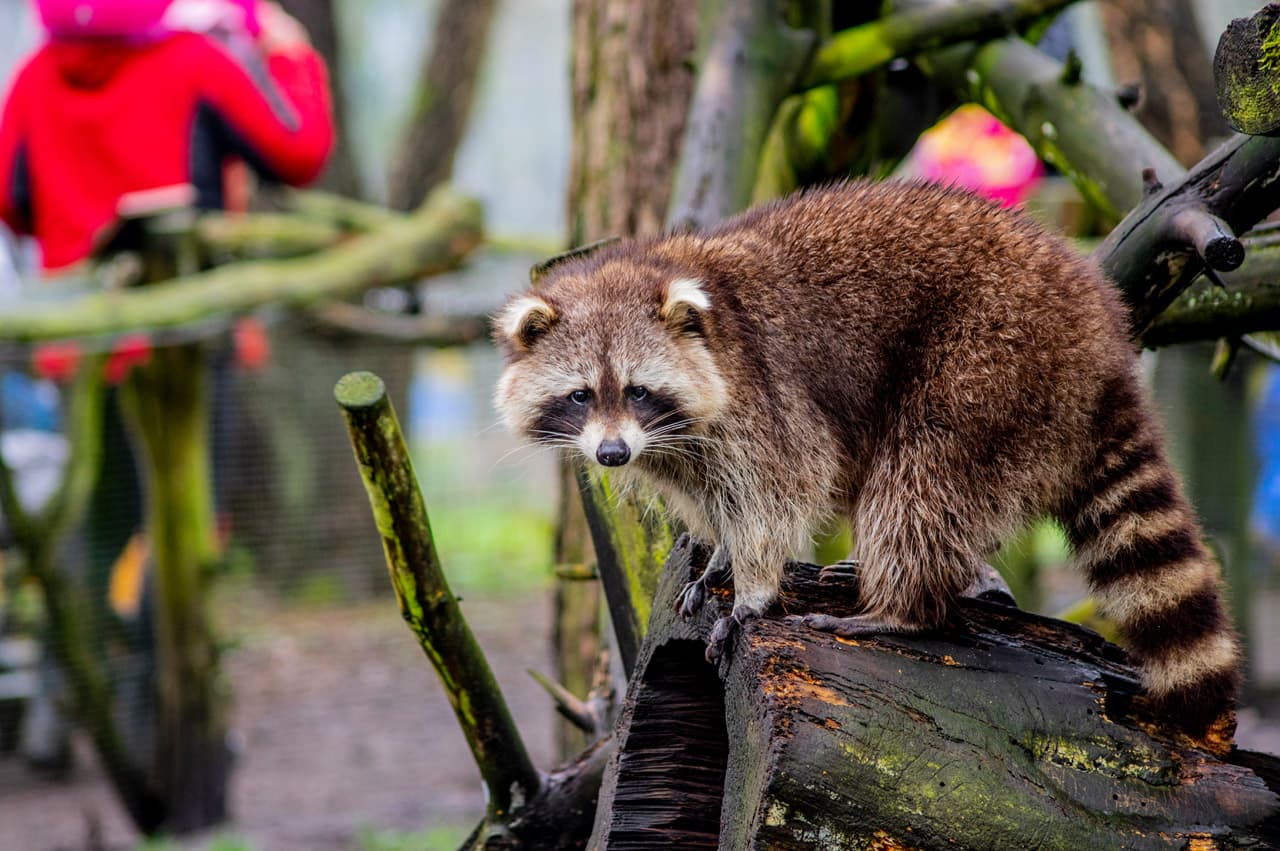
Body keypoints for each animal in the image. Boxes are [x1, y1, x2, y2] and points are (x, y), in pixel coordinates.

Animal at [493, 180, 1240, 733]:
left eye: (639, 391)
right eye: (581, 395)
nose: (612, 453)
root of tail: (1098, 331)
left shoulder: (761, 392)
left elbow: (781, 487)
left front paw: (754, 583)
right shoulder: (679, 448)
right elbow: (713, 493)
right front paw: (721, 551)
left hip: (992, 355)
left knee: (920, 479)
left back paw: (905, 605)